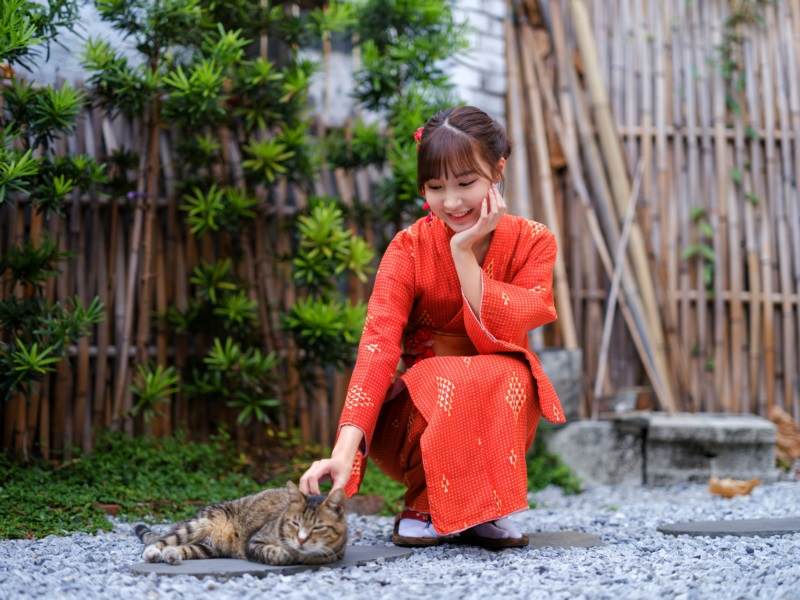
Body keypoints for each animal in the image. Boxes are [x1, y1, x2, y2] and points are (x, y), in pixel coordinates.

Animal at [135, 480, 346, 564]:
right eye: (294, 524)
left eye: (318, 528)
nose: (301, 539)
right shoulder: (254, 541)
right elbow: (276, 553)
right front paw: (286, 554)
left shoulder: (331, 555)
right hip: (196, 526)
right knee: (161, 541)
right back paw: (153, 553)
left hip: (208, 548)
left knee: (182, 548)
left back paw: (172, 555)